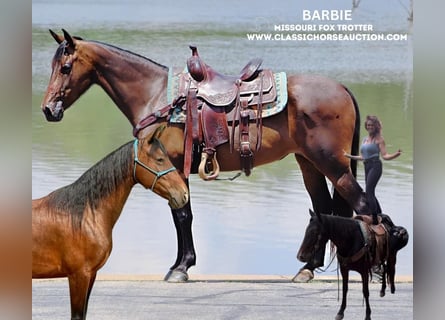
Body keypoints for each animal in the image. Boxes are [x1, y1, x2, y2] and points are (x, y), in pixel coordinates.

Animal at [40, 28, 372, 282]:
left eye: (66, 68)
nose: (48, 109)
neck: (155, 96)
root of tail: (343, 88)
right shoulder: (173, 171)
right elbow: (181, 214)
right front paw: (180, 264)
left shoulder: (173, 166)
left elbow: (182, 214)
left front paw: (182, 267)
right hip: (310, 164)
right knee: (323, 209)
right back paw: (307, 269)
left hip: (333, 164)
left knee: (363, 203)